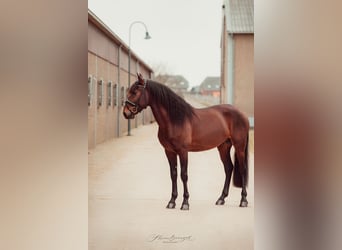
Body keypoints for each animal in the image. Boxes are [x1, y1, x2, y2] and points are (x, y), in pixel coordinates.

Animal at [123, 73, 248, 210]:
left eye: (135, 92)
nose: (125, 113)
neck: (175, 120)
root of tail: (242, 114)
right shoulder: (169, 151)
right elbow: (173, 174)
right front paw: (172, 201)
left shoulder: (183, 152)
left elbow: (184, 175)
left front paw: (185, 203)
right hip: (223, 147)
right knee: (229, 168)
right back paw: (221, 199)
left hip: (239, 146)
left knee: (242, 169)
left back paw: (243, 201)